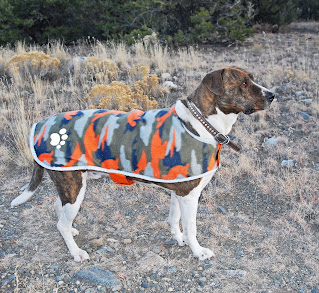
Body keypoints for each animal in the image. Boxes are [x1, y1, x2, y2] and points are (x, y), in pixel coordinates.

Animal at [10, 66, 276, 260]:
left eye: (252, 80)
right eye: (244, 84)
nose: (273, 95)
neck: (201, 122)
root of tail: (41, 125)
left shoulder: (179, 191)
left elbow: (174, 218)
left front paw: (178, 238)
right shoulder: (190, 195)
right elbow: (191, 228)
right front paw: (198, 251)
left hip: (73, 182)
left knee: (59, 209)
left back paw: (73, 231)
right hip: (73, 185)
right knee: (62, 223)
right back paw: (76, 252)